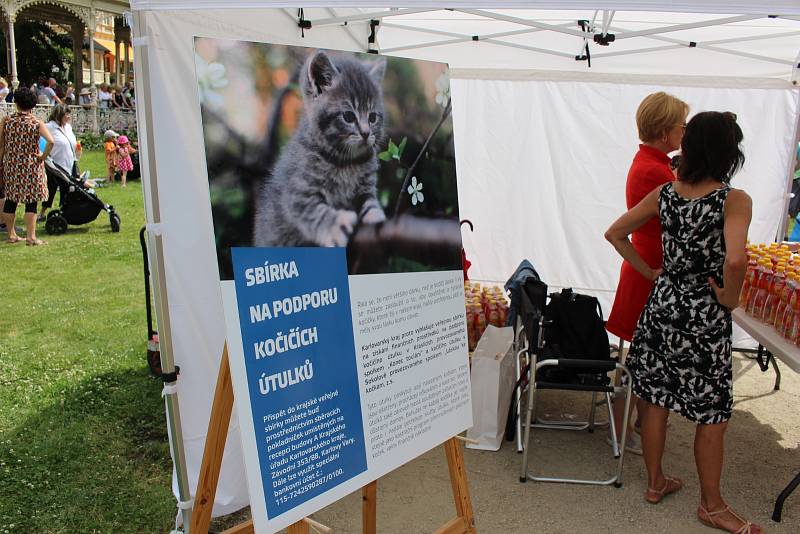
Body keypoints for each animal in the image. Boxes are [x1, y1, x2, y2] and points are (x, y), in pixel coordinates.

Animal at [252, 51, 386, 248]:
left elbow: (369, 200)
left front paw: (375, 213)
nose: (366, 133)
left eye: (373, 117)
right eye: (348, 116)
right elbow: (313, 210)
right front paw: (335, 225)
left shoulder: (365, 187)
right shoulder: (297, 191)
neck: (346, 161)